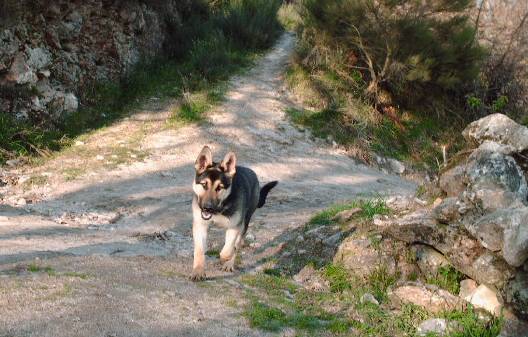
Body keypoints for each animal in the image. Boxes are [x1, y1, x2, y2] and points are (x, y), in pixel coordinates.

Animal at [191, 146, 280, 280]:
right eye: (204, 185)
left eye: (219, 188)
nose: (207, 208)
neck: (219, 209)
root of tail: (252, 173)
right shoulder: (200, 226)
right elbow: (200, 250)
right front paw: (198, 271)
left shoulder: (234, 227)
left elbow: (227, 250)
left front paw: (225, 258)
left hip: (244, 223)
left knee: (237, 244)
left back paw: (229, 263)